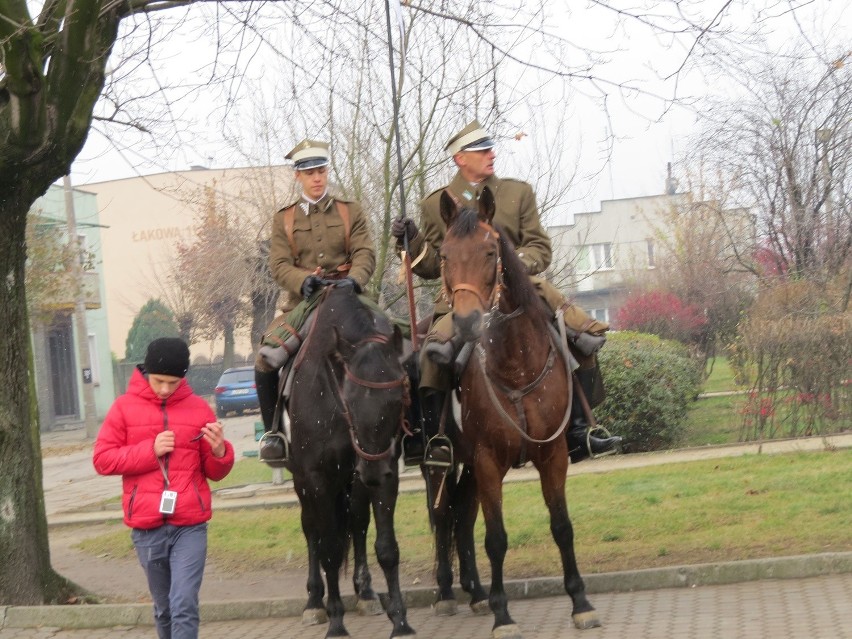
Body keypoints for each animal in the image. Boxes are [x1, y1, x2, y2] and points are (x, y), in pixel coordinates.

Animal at [282, 284, 416, 639]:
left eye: (397, 399)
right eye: (350, 400)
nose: (372, 470)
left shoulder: (385, 472)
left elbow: (387, 548)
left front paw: (400, 620)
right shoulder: (317, 477)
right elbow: (328, 548)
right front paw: (336, 622)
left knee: (357, 523)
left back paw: (366, 592)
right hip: (304, 480)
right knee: (311, 529)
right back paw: (315, 601)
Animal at [430, 190, 604, 639]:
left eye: (491, 251)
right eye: (443, 254)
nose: (467, 322)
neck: (515, 364)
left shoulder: (553, 456)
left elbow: (562, 526)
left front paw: (581, 603)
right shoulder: (489, 461)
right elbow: (496, 538)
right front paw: (503, 614)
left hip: (470, 468)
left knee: (460, 517)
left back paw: (474, 593)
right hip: (441, 462)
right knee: (441, 515)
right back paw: (447, 594)